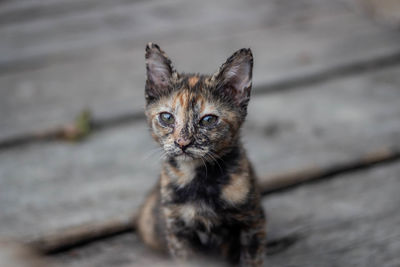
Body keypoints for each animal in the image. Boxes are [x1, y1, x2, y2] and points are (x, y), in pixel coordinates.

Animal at [138, 43, 266, 266]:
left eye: (208, 120)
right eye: (166, 117)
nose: (182, 143)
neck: (199, 177)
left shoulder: (252, 223)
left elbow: (251, 260)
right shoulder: (178, 231)